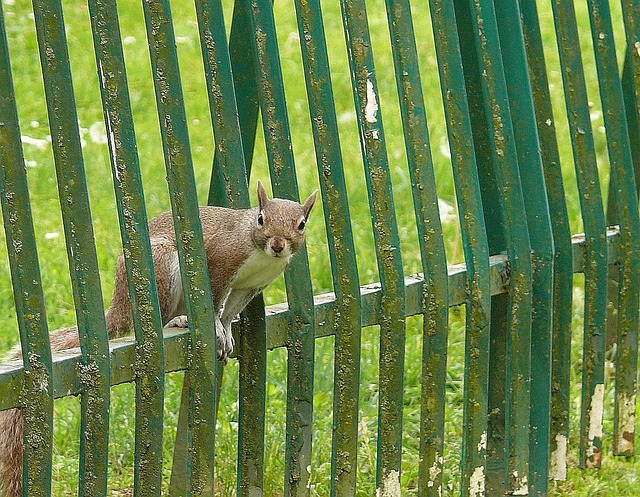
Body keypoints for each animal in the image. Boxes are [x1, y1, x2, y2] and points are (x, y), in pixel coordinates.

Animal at [0, 180, 317, 497]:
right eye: (262, 219)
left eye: (301, 224)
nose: (278, 244)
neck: (259, 253)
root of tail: (121, 301)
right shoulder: (220, 261)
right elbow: (215, 300)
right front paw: (216, 328)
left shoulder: (252, 284)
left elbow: (231, 310)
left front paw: (226, 330)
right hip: (162, 264)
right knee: (159, 322)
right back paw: (179, 320)